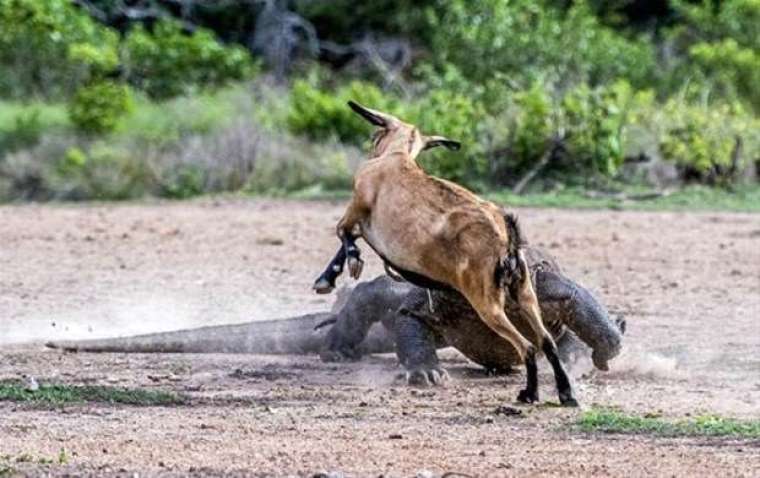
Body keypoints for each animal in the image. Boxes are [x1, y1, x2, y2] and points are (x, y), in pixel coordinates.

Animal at [312, 102, 572, 406]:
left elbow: (343, 236)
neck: (398, 157)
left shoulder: (355, 211)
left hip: (487, 302)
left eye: (375, 135)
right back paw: (566, 394)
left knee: (528, 346)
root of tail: (506, 237)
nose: (370, 148)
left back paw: (529, 393)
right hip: (525, 293)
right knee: (547, 342)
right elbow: (347, 242)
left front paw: (334, 274)